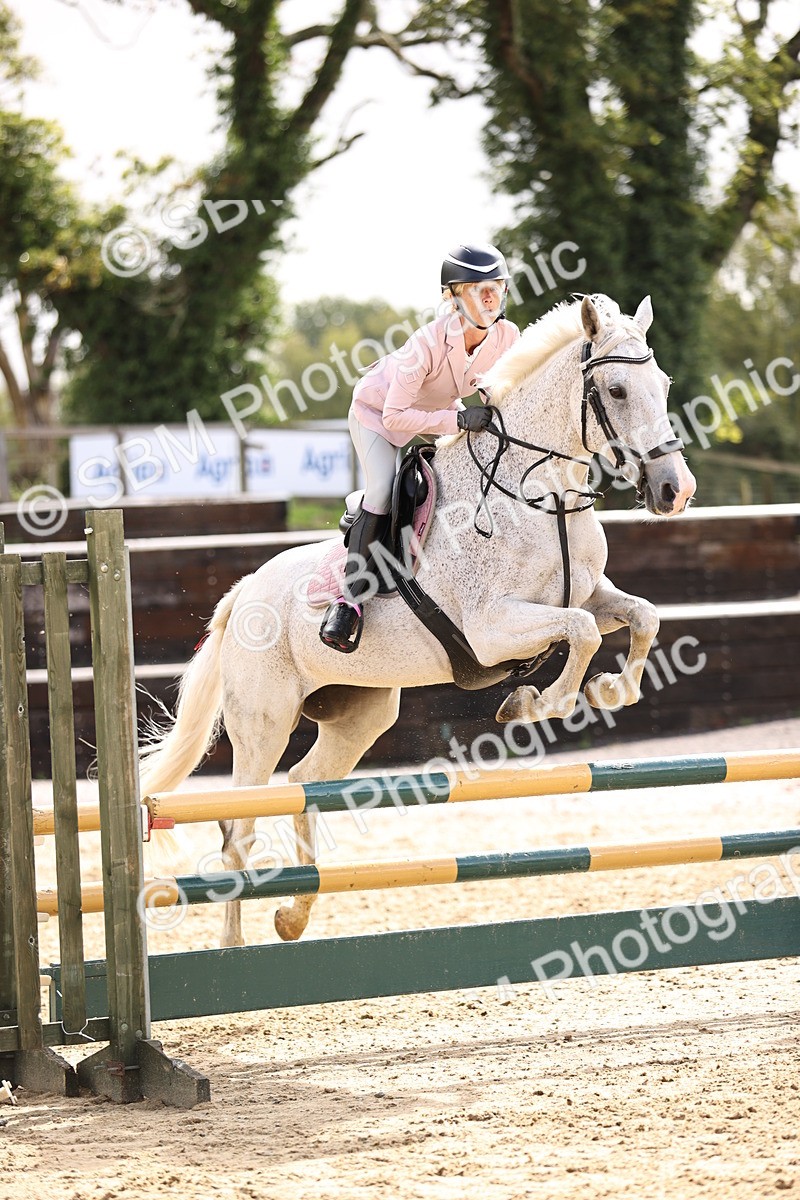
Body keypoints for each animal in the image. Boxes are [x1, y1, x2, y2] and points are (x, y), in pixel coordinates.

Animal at [140, 293, 696, 947]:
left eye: (663, 384)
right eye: (615, 390)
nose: (675, 489)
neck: (539, 495)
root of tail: (241, 593)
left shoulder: (588, 596)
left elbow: (641, 617)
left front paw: (609, 689)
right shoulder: (491, 628)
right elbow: (580, 636)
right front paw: (535, 703)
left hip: (360, 714)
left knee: (305, 783)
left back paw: (293, 915)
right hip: (264, 721)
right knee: (239, 830)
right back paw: (234, 947)